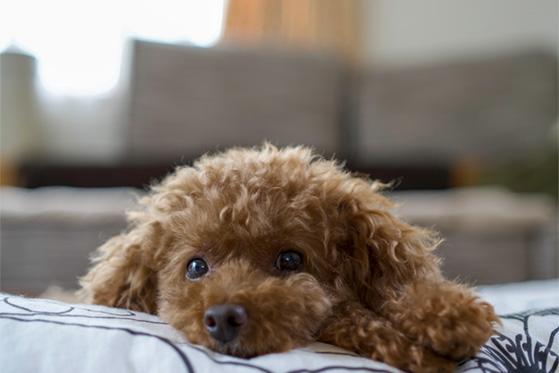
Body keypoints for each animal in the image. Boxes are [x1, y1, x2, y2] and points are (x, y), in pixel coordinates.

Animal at [80, 144, 498, 370]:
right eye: (196, 267)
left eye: (290, 260)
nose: (222, 319)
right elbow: (347, 315)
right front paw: (415, 349)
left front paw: (446, 313)